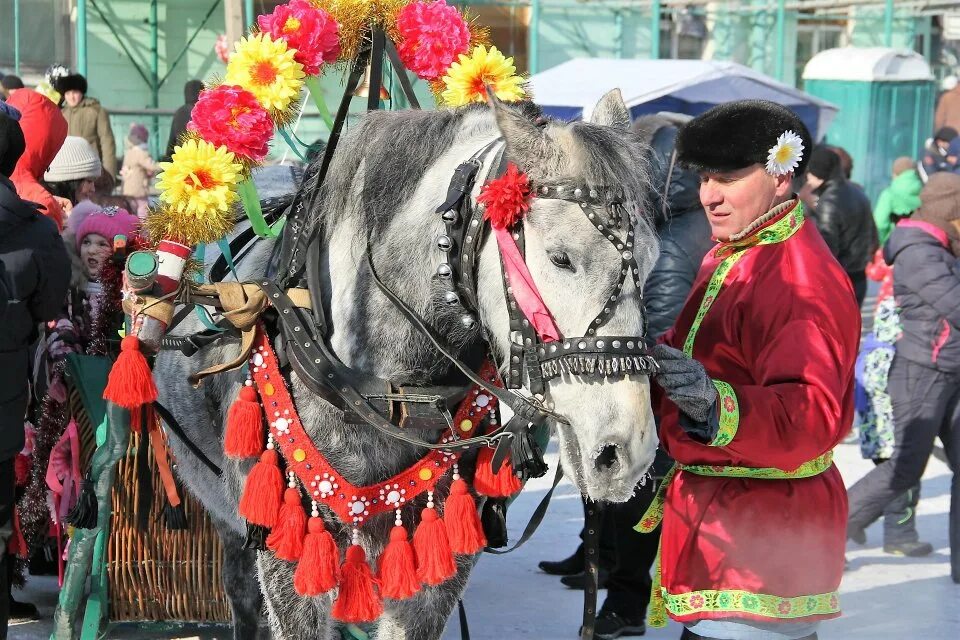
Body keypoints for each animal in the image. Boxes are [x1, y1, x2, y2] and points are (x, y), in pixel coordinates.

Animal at [158, 91, 664, 640]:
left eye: (653, 260)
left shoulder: (437, 558)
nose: (627, 452)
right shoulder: (289, 558)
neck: (383, 389)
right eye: (561, 257)